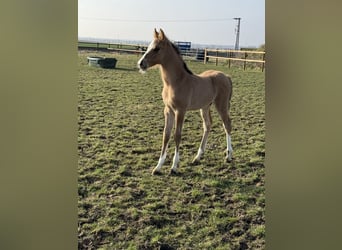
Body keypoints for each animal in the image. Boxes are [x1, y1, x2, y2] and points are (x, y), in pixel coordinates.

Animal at [138, 28, 232, 175]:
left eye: (157, 48)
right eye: (148, 47)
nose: (141, 64)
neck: (176, 82)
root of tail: (226, 76)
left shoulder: (180, 111)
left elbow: (177, 135)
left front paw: (174, 166)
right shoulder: (168, 110)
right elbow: (166, 135)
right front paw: (158, 167)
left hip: (221, 105)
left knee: (227, 125)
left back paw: (228, 156)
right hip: (205, 107)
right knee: (207, 125)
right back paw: (197, 157)